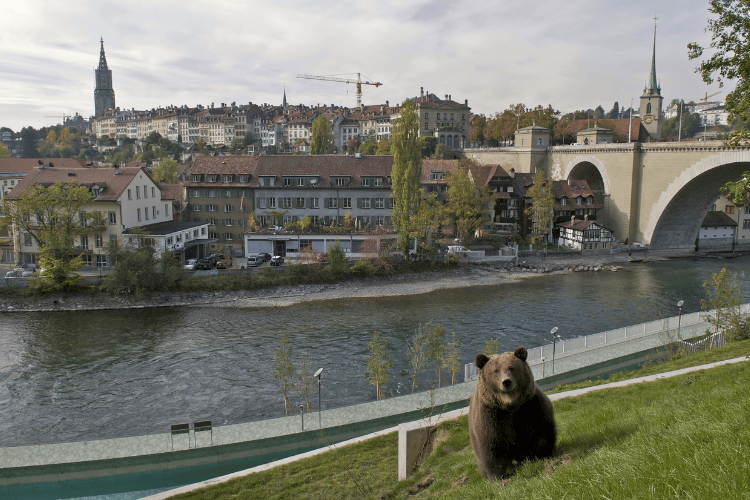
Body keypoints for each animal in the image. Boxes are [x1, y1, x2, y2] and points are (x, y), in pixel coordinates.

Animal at [468, 346, 556, 479]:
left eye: (511, 367)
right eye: (496, 371)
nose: (506, 382)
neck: (510, 404)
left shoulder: (530, 406)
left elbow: (541, 432)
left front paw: (542, 455)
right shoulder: (491, 415)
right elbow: (492, 445)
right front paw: (498, 475)